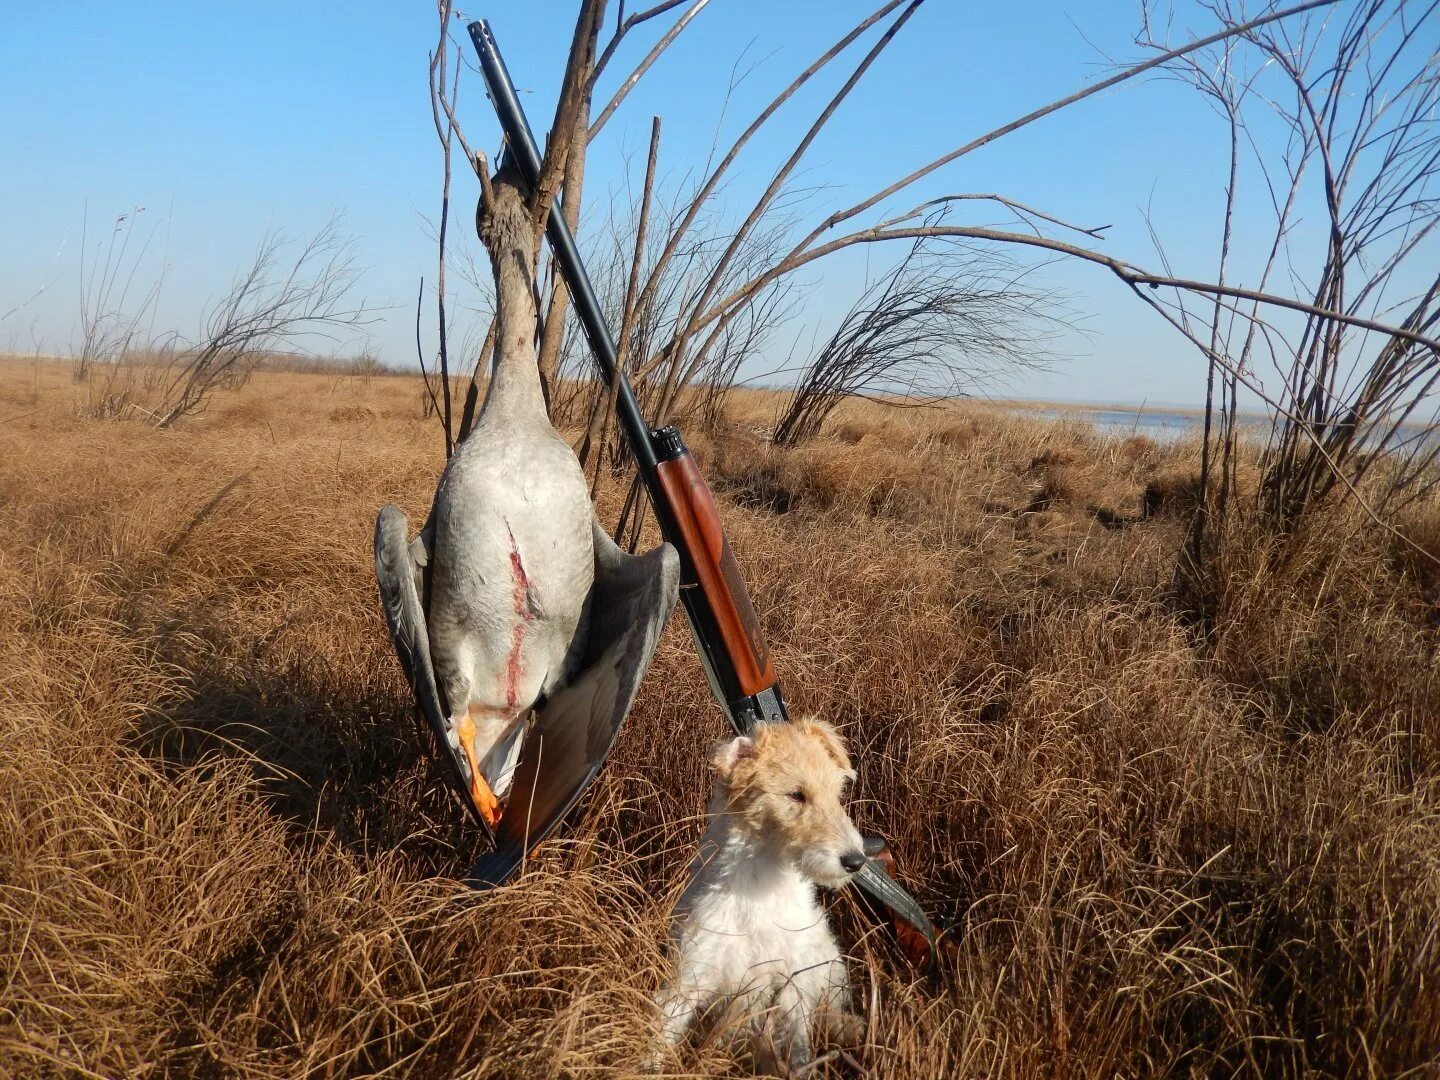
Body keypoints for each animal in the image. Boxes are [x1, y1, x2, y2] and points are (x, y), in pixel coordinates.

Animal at [656, 720, 864, 1077]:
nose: (856, 861)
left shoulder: (792, 983)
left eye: (837, 793)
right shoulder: (693, 973)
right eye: (796, 795)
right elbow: (662, 1034)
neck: (762, 889)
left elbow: (799, 1049)